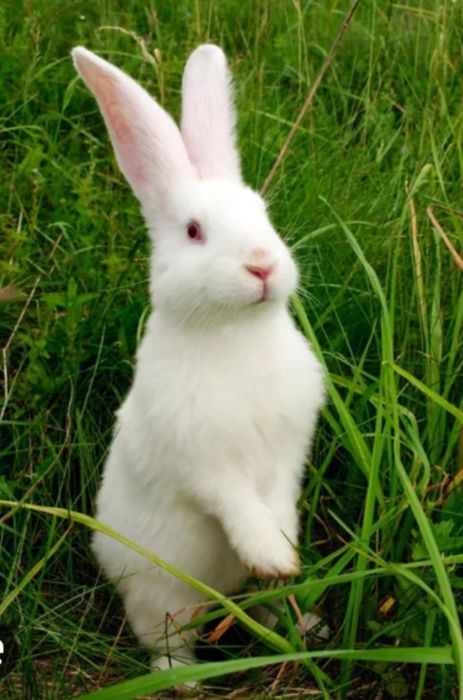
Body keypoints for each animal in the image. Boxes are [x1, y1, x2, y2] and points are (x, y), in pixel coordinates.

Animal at [72, 43, 325, 672]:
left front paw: (284, 554)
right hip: (163, 596)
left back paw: (302, 624)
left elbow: (277, 497)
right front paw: (272, 554)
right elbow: (236, 503)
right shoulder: (202, 462)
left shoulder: (288, 449)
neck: (234, 332)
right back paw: (181, 679)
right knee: (166, 640)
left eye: (263, 213)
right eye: (193, 231)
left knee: (261, 608)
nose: (262, 264)